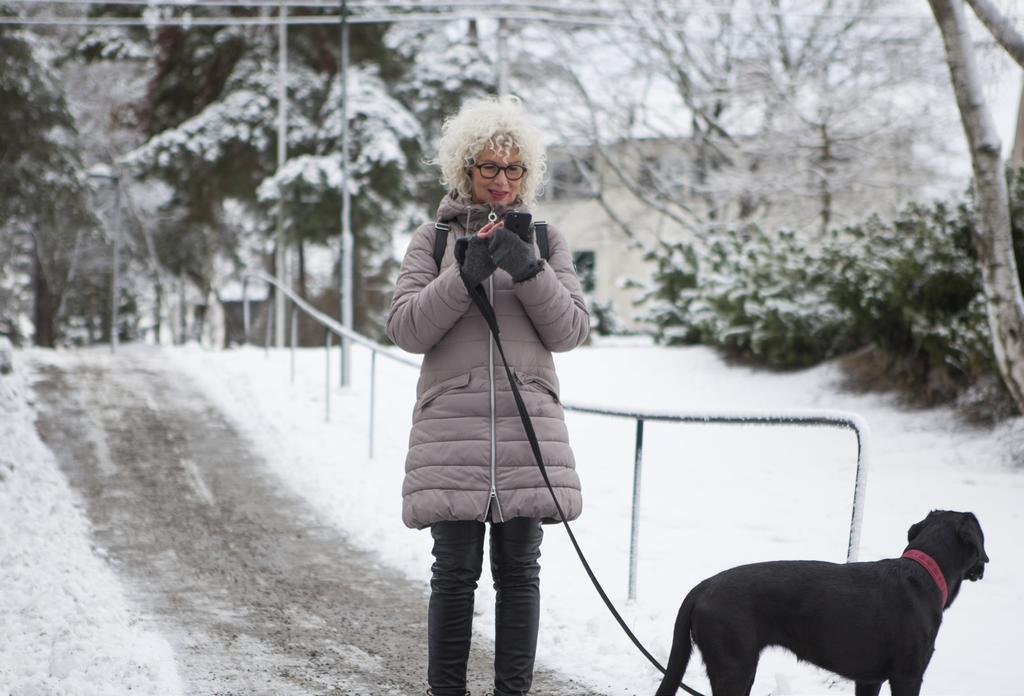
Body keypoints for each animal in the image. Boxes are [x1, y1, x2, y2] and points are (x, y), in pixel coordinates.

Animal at [659, 511, 987, 696]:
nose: (985, 564)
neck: (925, 571)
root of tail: (701, 587)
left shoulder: (869, 680)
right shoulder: (908, 675)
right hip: (734, 668)